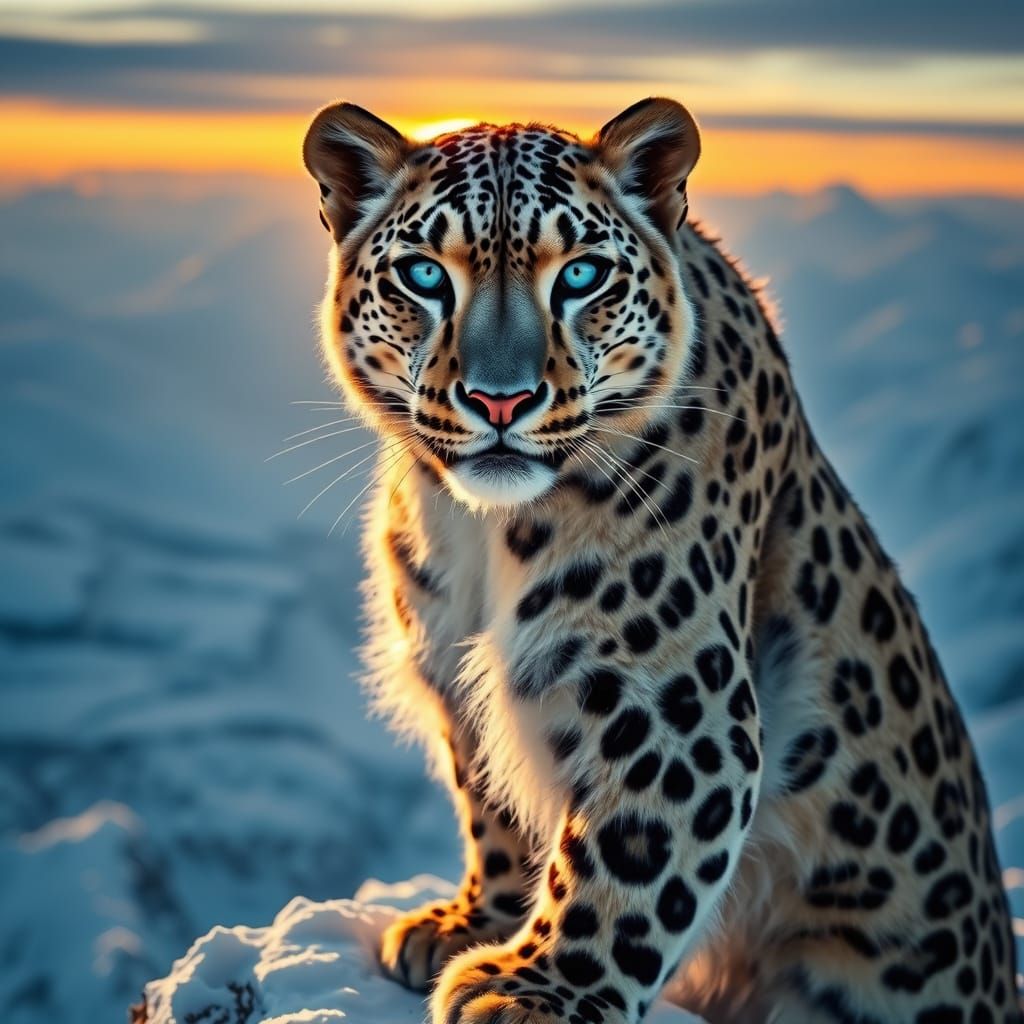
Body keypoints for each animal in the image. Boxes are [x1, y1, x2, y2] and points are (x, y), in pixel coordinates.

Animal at [299, 97, 1021, 1024]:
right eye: (425, 277)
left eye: (580, 277)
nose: (500, 400)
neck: (483, 531)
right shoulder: (457, 671)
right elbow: (491, 800)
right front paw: (472, 922)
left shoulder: (671, 701)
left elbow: (627, 857)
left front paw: (537, 990)